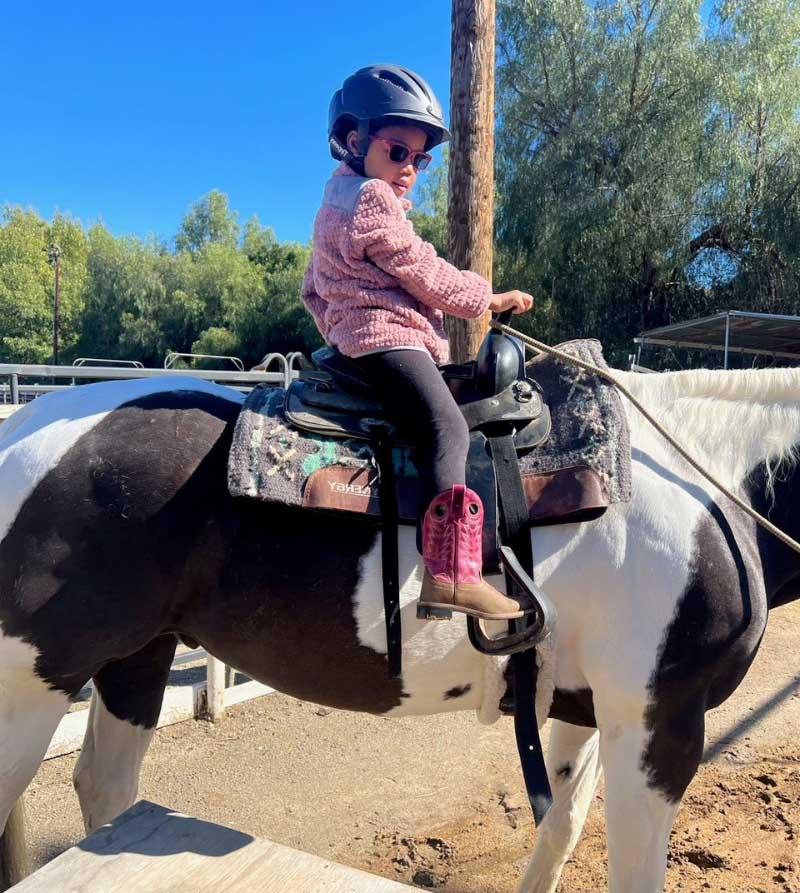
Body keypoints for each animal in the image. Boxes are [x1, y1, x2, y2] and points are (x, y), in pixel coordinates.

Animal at [0, 364, 796, 892]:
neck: (708, 484)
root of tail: (20, 429)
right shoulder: (662, 720)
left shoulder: (593, 709)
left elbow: (561, 827)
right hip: (31, 686)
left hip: (137, 654)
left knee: (105, 787)